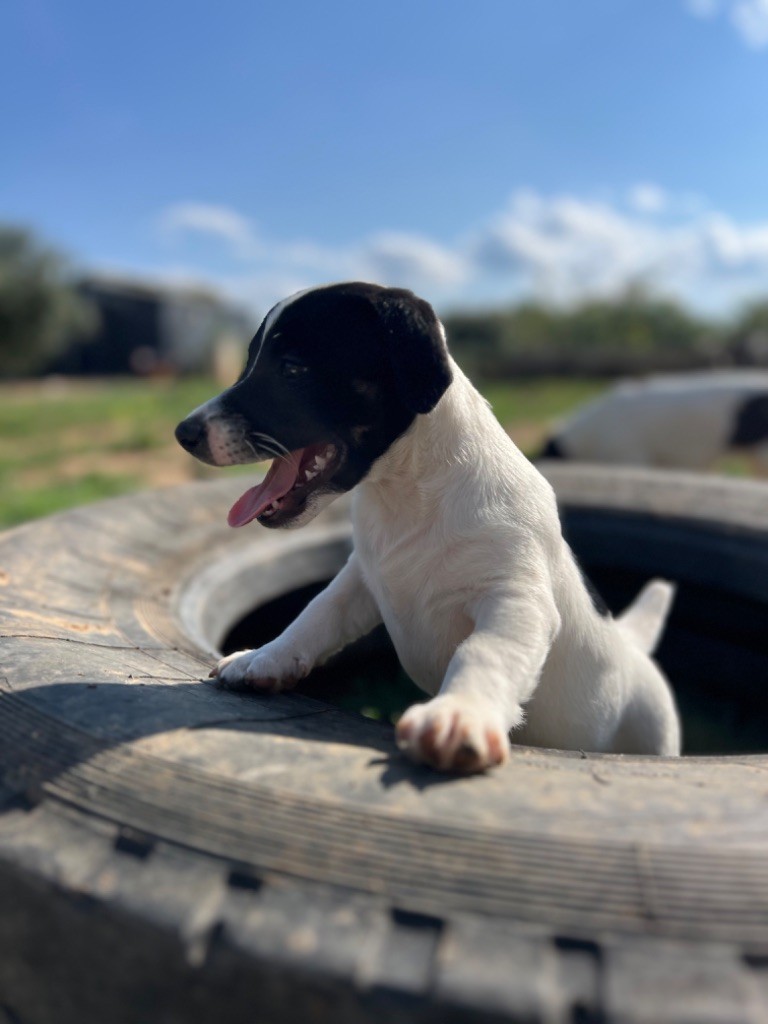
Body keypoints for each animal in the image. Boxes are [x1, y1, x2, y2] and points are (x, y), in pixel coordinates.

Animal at [177, 280, 684, 770]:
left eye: (293, 369)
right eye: (249, 364)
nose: (184, 433)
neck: (407, 495)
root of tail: (633, 647)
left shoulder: (515, 598)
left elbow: (484, 652)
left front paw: (460, 714)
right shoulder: (361, 578)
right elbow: (317, 614)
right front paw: (267, 657)